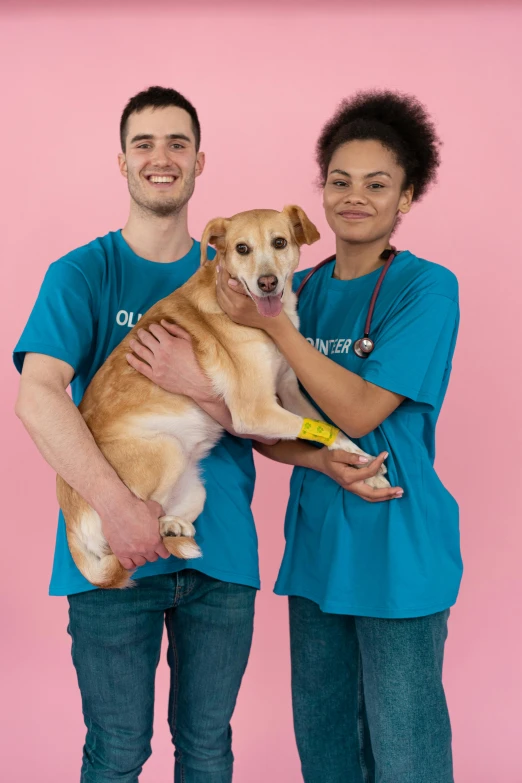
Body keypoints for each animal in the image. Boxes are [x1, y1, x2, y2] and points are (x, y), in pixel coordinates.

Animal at [58, 207, 386, 588]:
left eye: (280, 242)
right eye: (242, 248)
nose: (267, 283)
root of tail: (70, 523)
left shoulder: (289, 390)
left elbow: (329, 428)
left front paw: (365, 467)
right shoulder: (255, 411)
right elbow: (321, 427)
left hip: (196, 489)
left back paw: (173, 527)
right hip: (164, 451)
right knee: (129, 536)